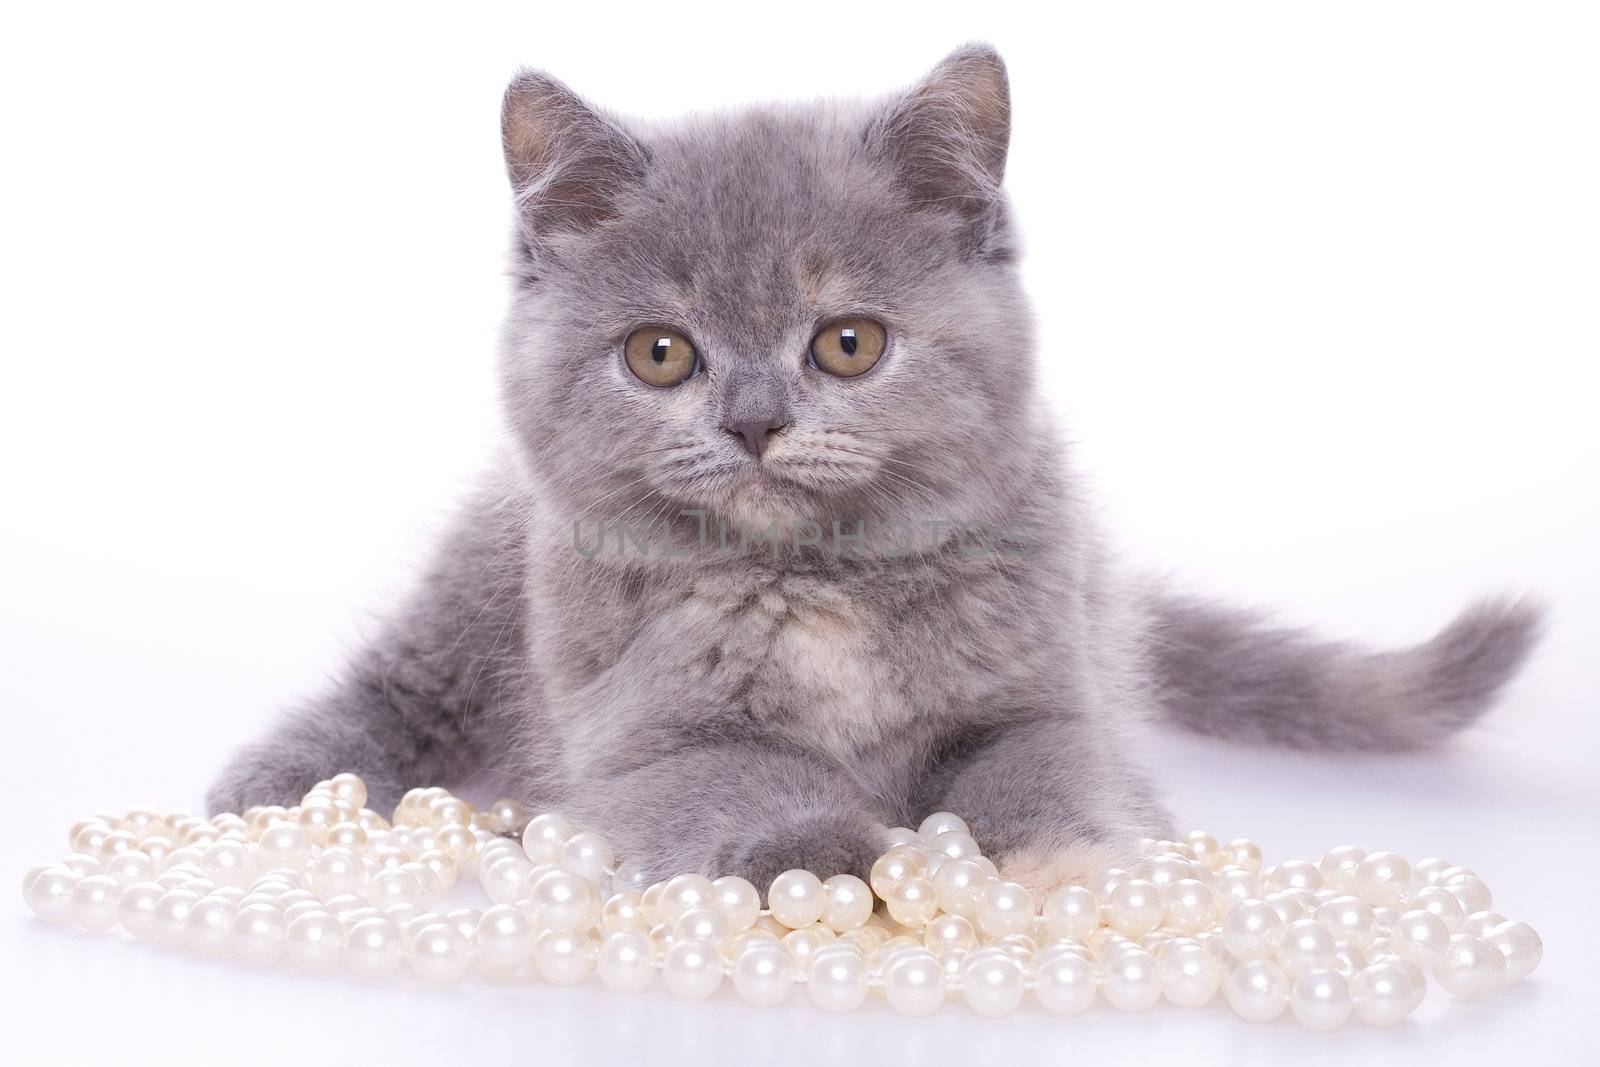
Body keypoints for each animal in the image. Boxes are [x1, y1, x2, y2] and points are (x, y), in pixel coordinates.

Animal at [206, 45, 1542, 895]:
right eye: (659, 352)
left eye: (847, 343)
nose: (753, 420)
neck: (821, 586)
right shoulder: (639, 735)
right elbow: (731, 781)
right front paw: (824, 855)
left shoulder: (1048, 685)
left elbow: (1043, 763)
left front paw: (1062, 856)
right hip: (484, 576)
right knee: (404, 683)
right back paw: (281, 783)